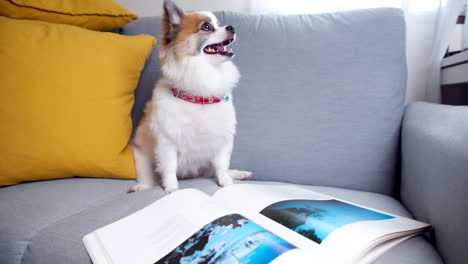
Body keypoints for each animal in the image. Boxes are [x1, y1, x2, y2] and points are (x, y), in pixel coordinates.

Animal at [128, 0, 252, 194]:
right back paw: (141, 186)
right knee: (148, 176)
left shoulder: (221, 138)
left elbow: (221, 164)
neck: (199, 96)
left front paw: (225, 182)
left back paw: (238, 174)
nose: (231, 27)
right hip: (142, 158)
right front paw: (172, 188)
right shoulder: (167, 141)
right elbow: (169, 167)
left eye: (219, 24)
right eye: (207, 27)